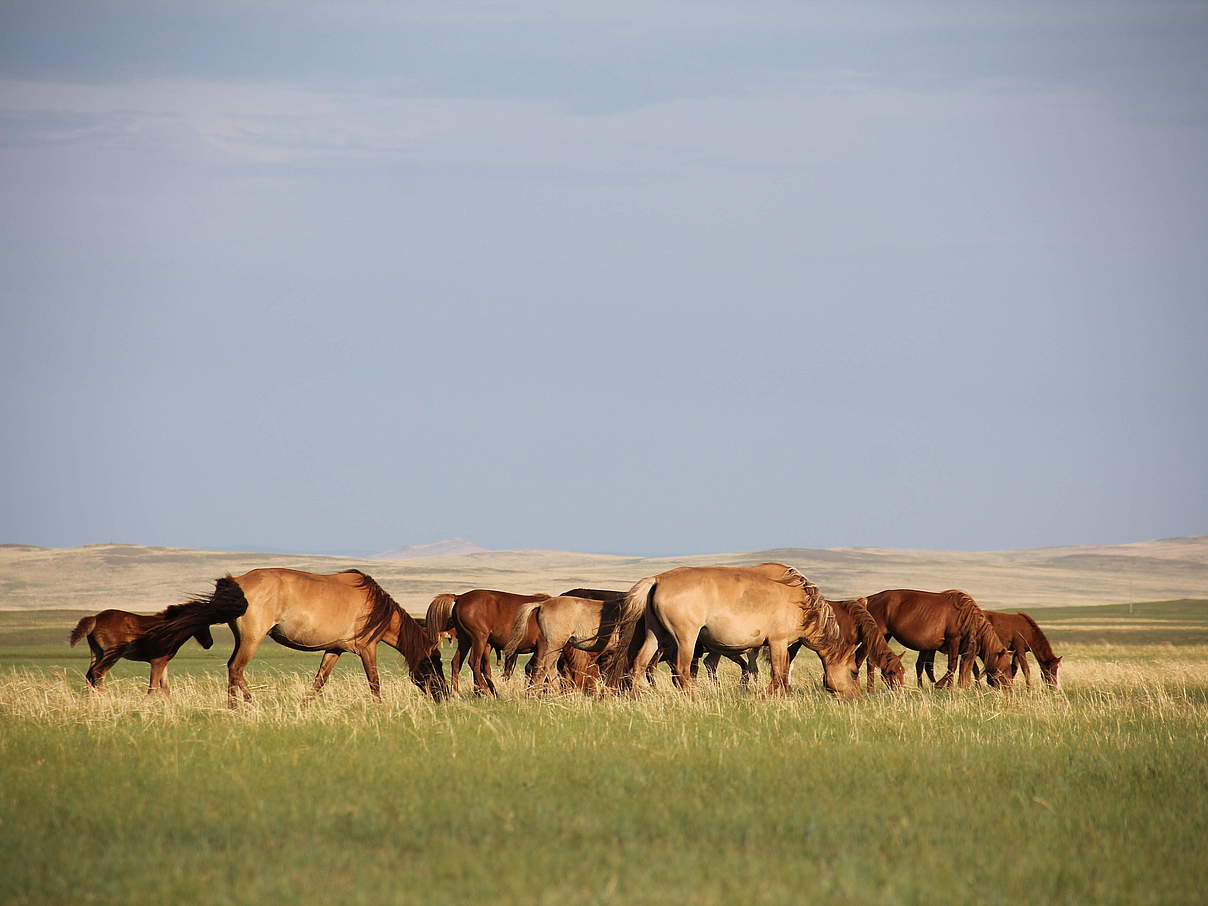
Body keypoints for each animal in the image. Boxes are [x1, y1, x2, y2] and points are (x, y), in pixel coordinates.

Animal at [138, 567, 449, 710]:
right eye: (435, 663)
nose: (444, 696)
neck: (375, 608)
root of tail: (238, 583)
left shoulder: (334, 650)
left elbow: (319, 681)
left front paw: (304, 707)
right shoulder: (366, 648)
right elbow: (374, 681)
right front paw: (380, 708)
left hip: (243, 639)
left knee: (233, 669)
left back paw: (242, 705)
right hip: (253, 638)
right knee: (237, 668)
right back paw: (243, 706)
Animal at [422, 591, 550, 700]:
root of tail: (460, 597)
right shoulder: (542, 647)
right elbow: (538, 668)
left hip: (465, 641)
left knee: (457, 662)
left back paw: (457, 694)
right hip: (479, 639)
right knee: (474, 663)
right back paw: (487, 692)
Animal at [864, 584, 1014, 690]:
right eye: (1003, 668)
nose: (1009, 689)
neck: (966, 615)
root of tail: (869, 599)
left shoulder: (966, 648)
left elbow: (971, 669)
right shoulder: (954, 641)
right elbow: (952, 666)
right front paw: (945, 687)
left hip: (886, 635)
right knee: (871, 661)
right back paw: (870, 690)